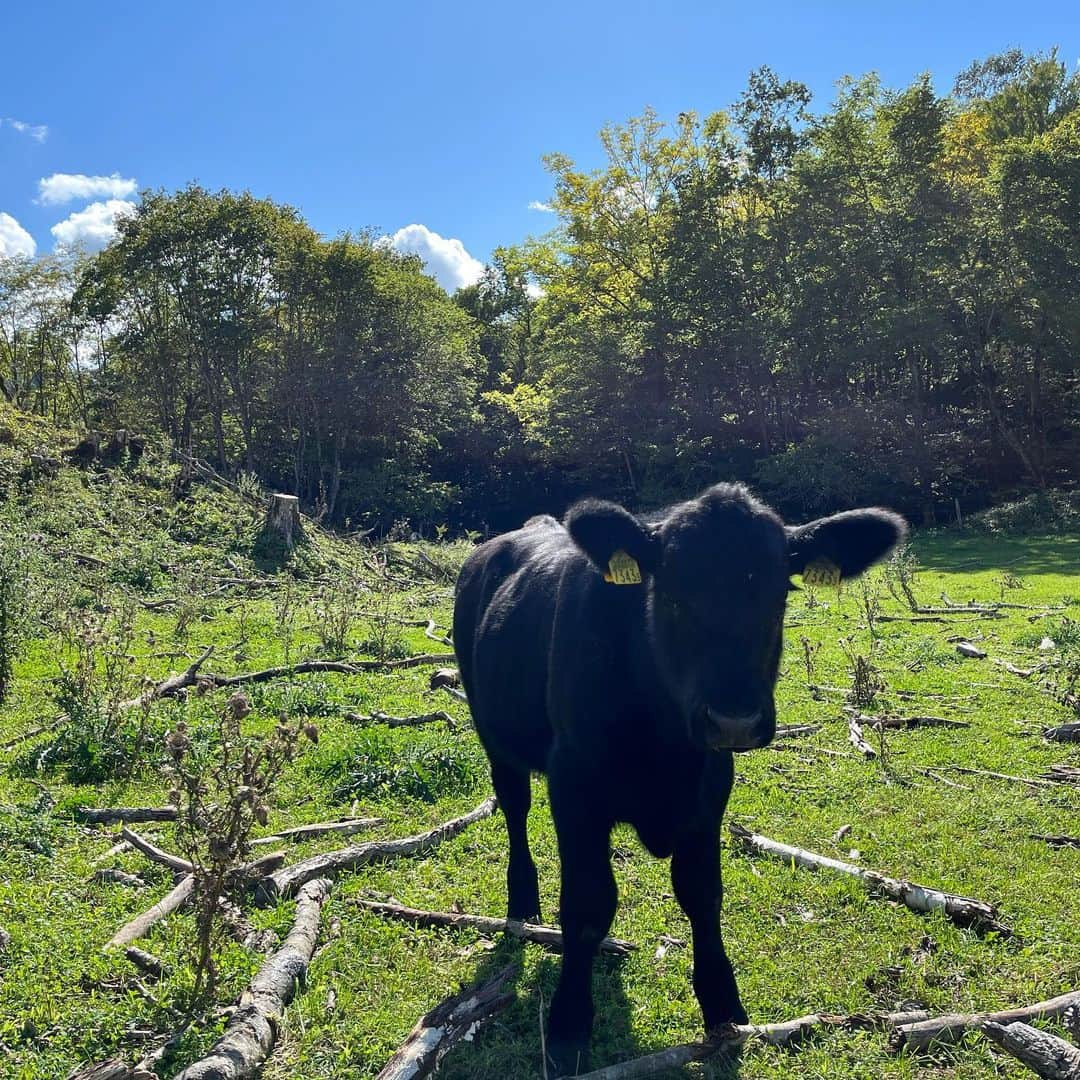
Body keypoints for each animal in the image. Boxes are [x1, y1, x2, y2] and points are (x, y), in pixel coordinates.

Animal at [451, 486, 907, 1075]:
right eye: (670, 594)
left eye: (779, 593)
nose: (734, 720)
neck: (664, 744)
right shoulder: (572, 787)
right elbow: (587, 905)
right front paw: (570, 1023)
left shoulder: (710, 790)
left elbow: (702, 895)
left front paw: (723, 1004)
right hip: (494, 735)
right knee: (514, 808)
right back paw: (522, 901)